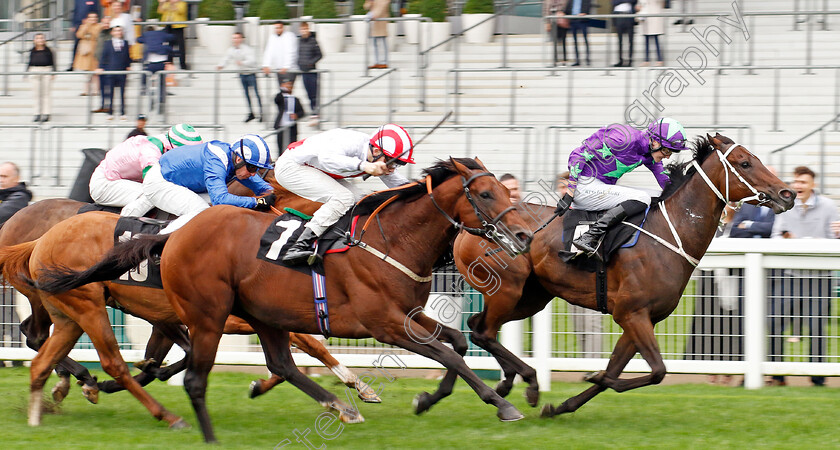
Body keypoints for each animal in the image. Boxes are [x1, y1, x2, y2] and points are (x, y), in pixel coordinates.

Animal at [36, 159, 532, 442]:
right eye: (485, 193)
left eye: (503, 190)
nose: (526, 234)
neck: (390, 241)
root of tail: (172, 235)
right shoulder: (385, 324)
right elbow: (450, 355)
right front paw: (502, 403)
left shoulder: (408, 316)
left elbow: (457, 346)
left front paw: (428, 398)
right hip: (193, 313)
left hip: (260, 314)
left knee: (279, 364)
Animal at [440, 133, 796, 414]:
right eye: (745, 163)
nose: (787, 194)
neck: (669, 234)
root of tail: (474, 225)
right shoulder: (631, 313)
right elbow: (656, 371)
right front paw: (591, 377)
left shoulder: (643, 317)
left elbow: (619, 370)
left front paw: (563, 405)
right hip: (507, 290)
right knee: (483, 332)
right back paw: (525, 383)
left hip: (532, 297)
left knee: (476, 327)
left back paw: (501, 385)